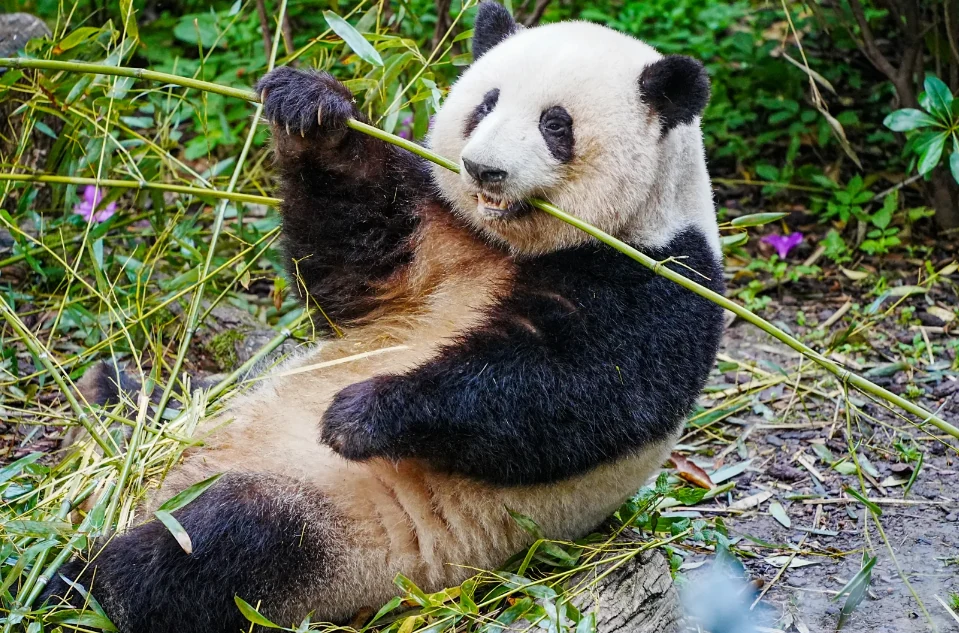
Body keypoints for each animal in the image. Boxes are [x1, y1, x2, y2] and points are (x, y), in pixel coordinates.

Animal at [47, 3, 724, 631]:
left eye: (555, 124)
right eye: (485, 104)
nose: (483, 168)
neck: (513, 245)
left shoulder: (662, 277)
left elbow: (576, 390)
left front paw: (362, 414)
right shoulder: (436, 233)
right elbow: (351, 257)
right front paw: (310, 108)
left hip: (341, 531)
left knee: (218, 548)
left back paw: (76, 581)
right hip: (211, 414)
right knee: (150, 405)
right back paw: (106, 403)